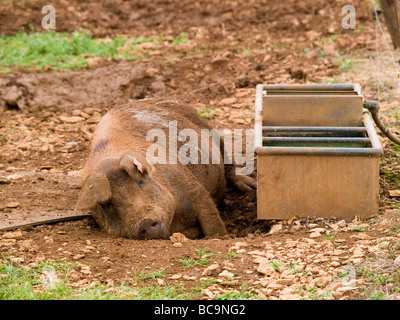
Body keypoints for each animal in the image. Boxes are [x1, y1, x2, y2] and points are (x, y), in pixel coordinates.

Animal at [75, 99, 256, 239]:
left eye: (140, 182)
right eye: (107, 204)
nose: (144, 221)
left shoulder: (196, 192)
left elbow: (213, 226)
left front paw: (221, 237)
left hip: (211, 130)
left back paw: (250, 187)